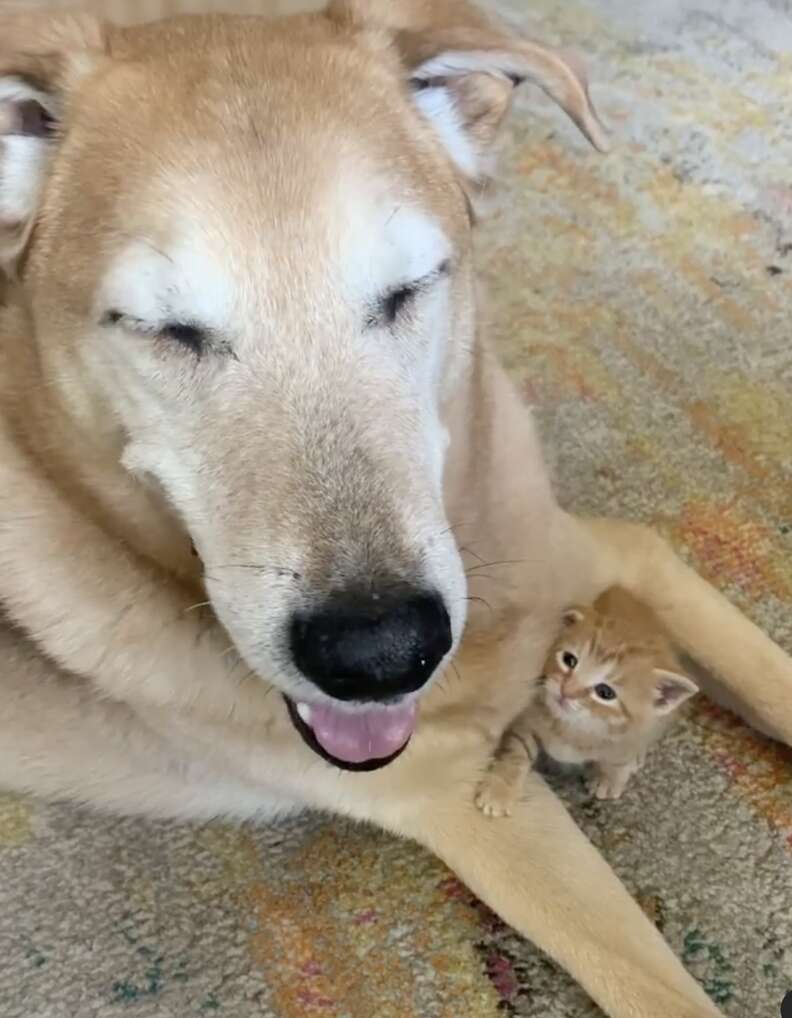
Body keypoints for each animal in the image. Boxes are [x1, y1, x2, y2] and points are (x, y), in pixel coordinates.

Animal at [472, 586, 696, 814]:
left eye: (605, 692)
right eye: (569, 660)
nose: (566, 690)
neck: (574, 728)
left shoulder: (630, 735)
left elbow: (620, 757)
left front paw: (610, 777)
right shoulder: (527, 715)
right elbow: (517, 750)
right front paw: (500, 790)